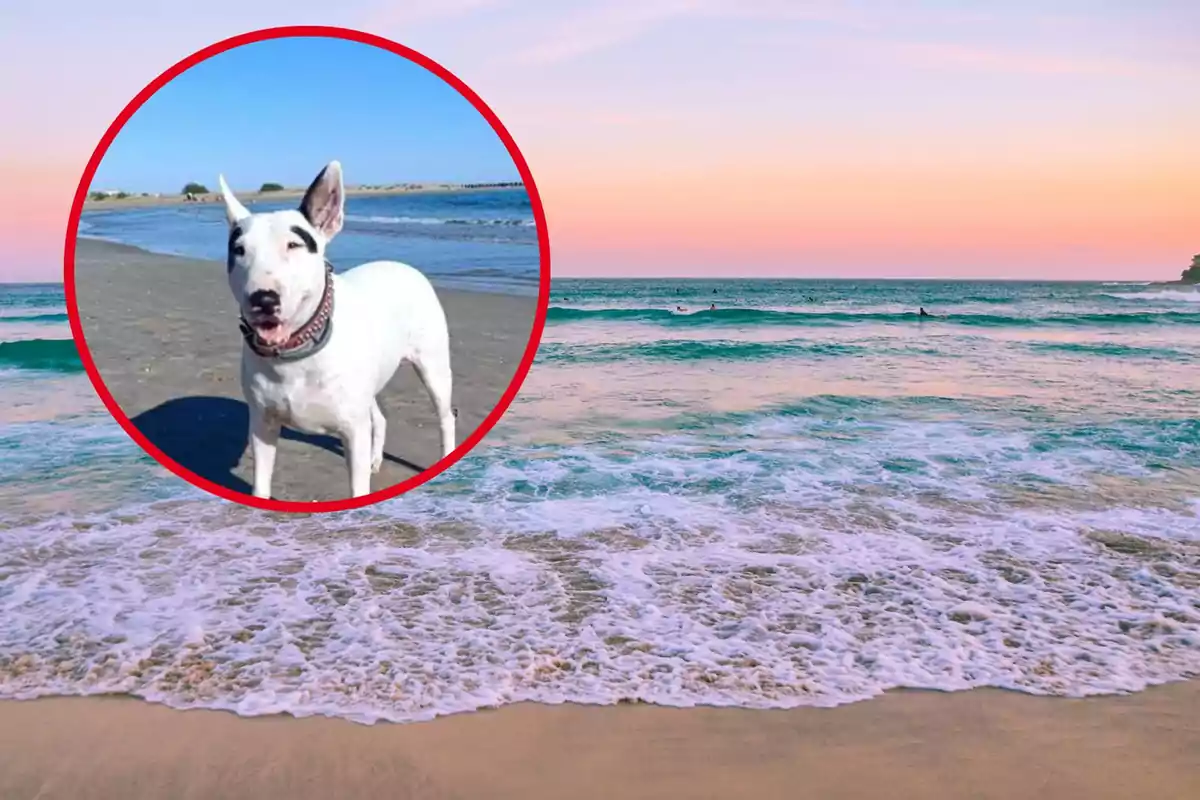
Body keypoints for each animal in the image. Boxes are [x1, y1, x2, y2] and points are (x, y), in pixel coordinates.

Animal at [218, 160, 456, 501]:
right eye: (239, 250)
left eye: (294, 244)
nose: (263, 299)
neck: (296, 353)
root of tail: (403, 266)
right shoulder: (262, 425)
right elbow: (261, 484)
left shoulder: (353, 431)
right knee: (379, 417)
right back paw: (375, 459)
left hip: (433, 367)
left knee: (446, 416)